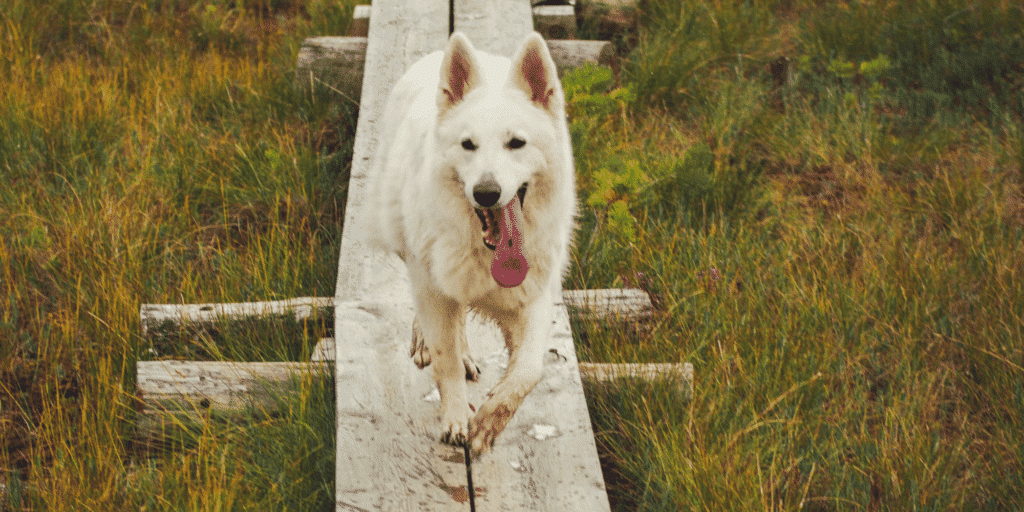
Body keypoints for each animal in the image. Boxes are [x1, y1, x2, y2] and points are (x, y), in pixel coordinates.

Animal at [366, 32, 577, 454]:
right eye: (468, 145)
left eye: (517, 143)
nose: (486, 193)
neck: (488, 254)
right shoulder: (433, 286)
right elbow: (445, 358)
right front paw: (456, 418)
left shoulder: (534, 294)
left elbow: (528, 370)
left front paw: (489, 421)